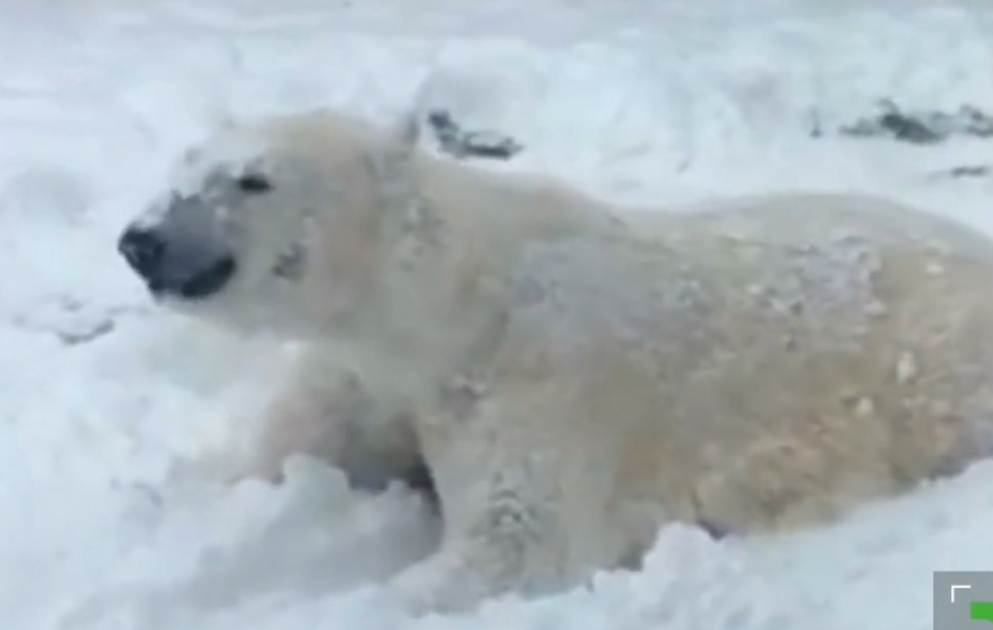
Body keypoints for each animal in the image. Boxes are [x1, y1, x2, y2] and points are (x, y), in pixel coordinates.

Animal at [116, 107, 993, 615]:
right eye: (182, 167)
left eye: (253, 179)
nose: (141, 240)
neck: (445, 307)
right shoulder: (365, 379)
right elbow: (282, 459)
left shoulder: (532, 377)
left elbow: (519, 541)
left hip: (940, 357)